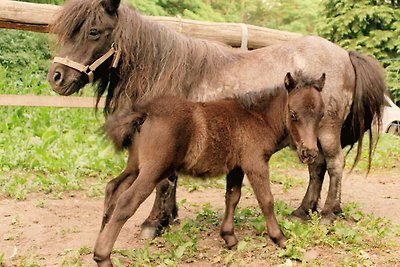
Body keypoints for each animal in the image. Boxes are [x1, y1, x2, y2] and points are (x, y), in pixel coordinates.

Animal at [48, 0, 386, 239]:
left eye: (93, 31)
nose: (56, 77)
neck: (165, 70)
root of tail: (345, 55)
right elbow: (170, 181)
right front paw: (169, 218)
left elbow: (163, 183)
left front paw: (153, 223)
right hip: (307, 137)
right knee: (316, 167)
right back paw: (303, 211)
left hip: (326, 130)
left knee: (335, 164)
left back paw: (328, 213)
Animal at [95, 71, 326, 266]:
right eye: (293, 114)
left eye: (321, 115)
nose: (310, 152)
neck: (258, 117)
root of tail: (146, 113)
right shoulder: (255, 163)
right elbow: (266, 200)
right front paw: (280, 239)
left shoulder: (236, 167)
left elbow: (232, 197)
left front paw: (229, 238)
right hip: (154, 170)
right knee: (126, 201)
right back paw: (102, 256)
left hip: (135, 166)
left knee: (113, 188)